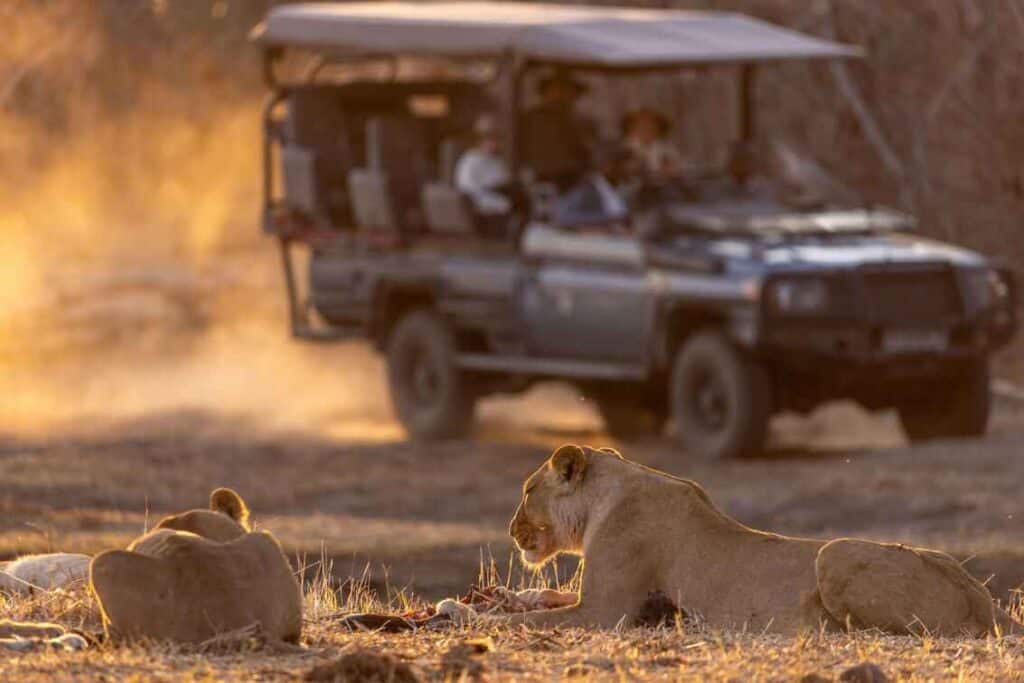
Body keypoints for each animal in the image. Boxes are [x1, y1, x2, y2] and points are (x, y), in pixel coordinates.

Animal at [505, 444, 1018, 636]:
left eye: (527, 491)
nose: (512, 531)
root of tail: (982, 597)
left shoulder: (605, 612)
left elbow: (523, 619)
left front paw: (486, 614)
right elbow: (540, 599)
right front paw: (516, 597)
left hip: (832, 554)